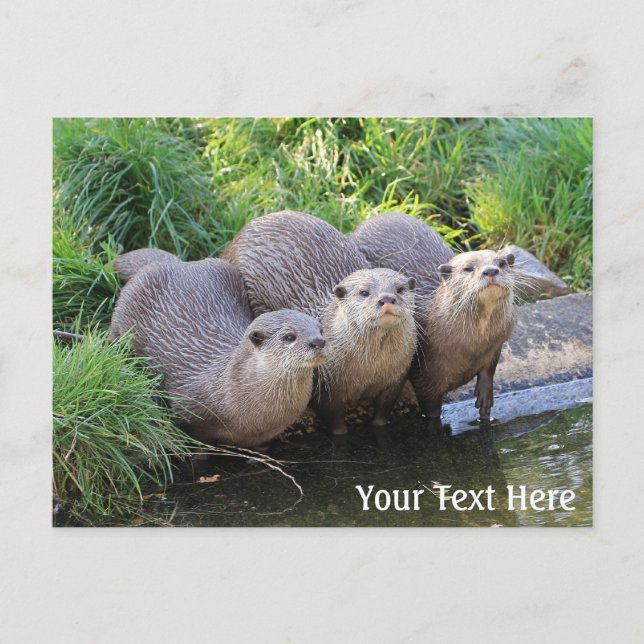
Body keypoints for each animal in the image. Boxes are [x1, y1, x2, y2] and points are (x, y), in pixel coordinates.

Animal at [109, 252, 327, 447]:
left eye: (320, 329)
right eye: (289, 336)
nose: (318, 341)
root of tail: (178, 262)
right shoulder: (189, 411)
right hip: (125, 310)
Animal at [222, 211, 418, 434]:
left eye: (400, 289)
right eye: (364, 292)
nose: (386, 299)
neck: (369, 370)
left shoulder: (396, 378)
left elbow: (383, 410)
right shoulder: (325, 386)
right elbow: (334, 418)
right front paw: (341, 433)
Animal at [351, 211, 518, 420]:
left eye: (502, 263)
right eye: (468, 268)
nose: (490, 271)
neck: (473, 347)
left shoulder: (495, 345)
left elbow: (489, 370)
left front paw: (485, 398)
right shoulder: (426, 375)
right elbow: (430, 409)